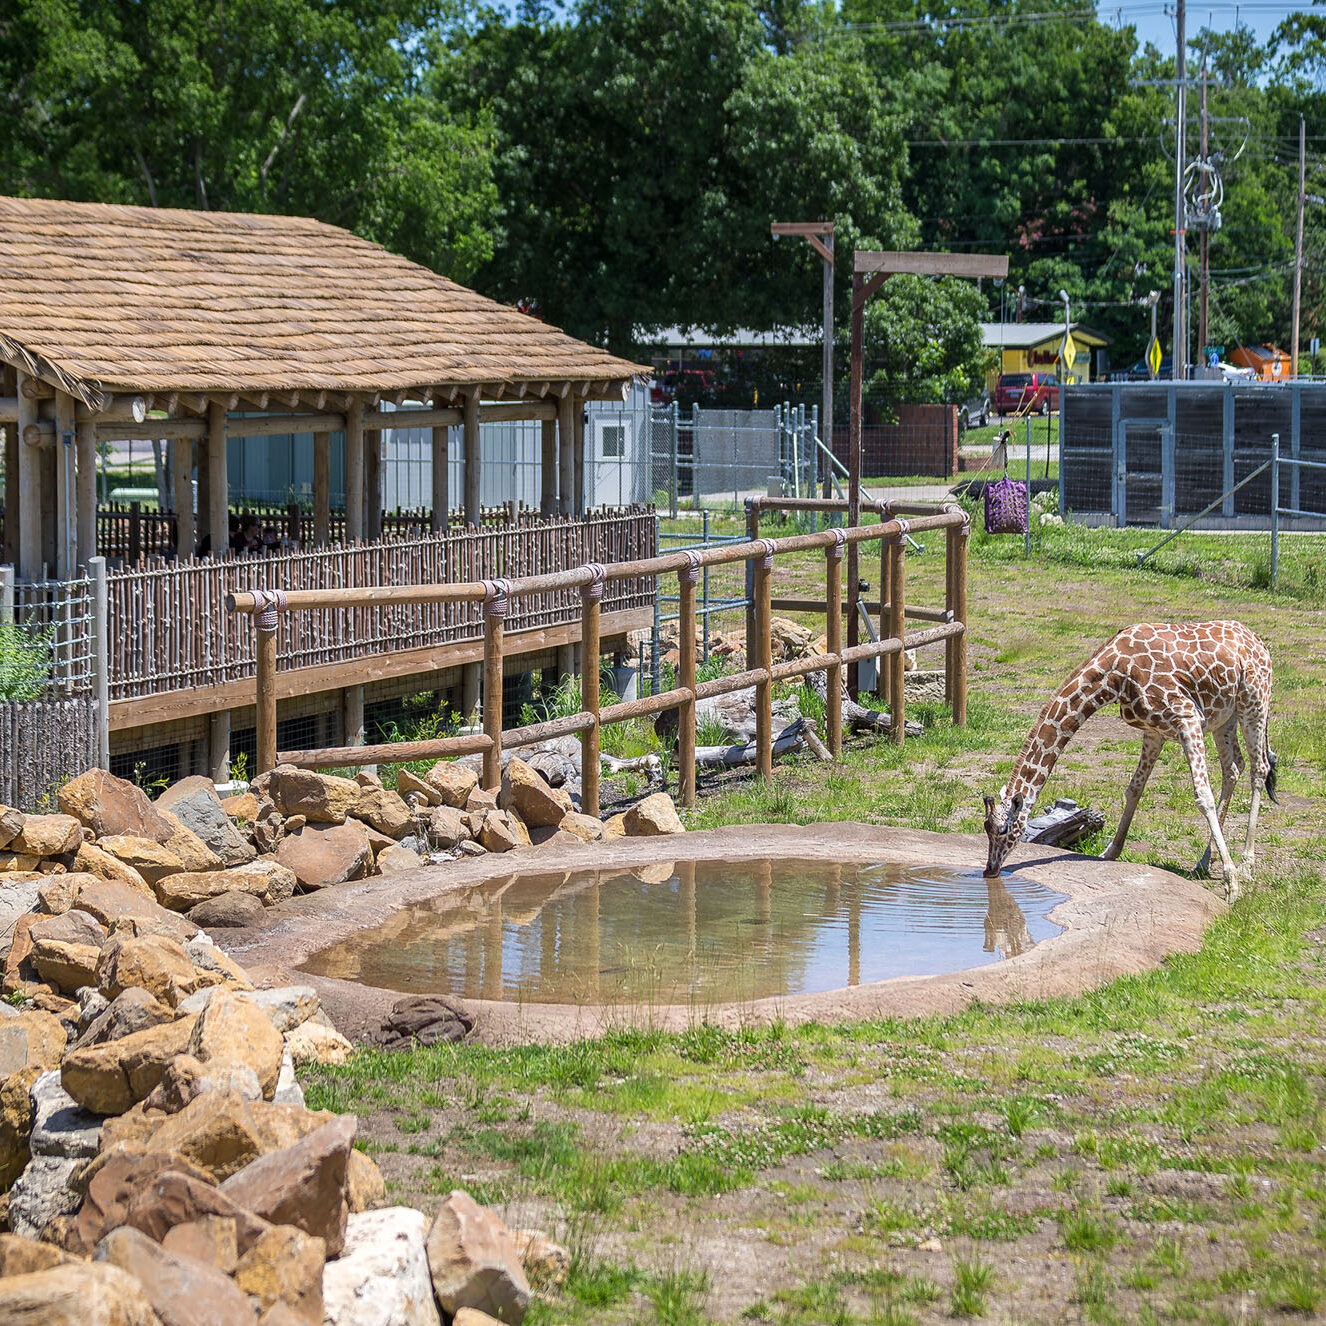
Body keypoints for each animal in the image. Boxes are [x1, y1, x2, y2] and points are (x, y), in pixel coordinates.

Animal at [982, 621, 1277, 900]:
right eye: (985, 827)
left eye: (1004, 829)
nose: (990, 870)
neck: (1115, 675)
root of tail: (1258, 640)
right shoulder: (1154, 731)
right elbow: (1134, 788)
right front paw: (1110, 852)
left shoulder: (1187, 716)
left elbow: (1203, 796)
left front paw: (1232, 884)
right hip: (1225, 717)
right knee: (1233, 767)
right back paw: (1204, 861)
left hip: (1254, 701)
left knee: (1259, 768)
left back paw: (1245, 866)